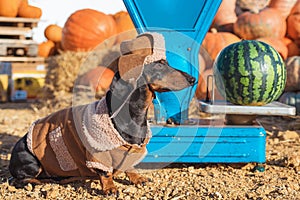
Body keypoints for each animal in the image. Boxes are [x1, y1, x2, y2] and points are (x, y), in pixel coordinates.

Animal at [8, 32, 196, 195]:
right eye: (159, 64)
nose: (193, 79)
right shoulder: (98, 151)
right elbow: (105, 173)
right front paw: (110, 188)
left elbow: (130, 166)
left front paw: (137, 178)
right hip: (33, 162)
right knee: (21, 179)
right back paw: (46, 181)